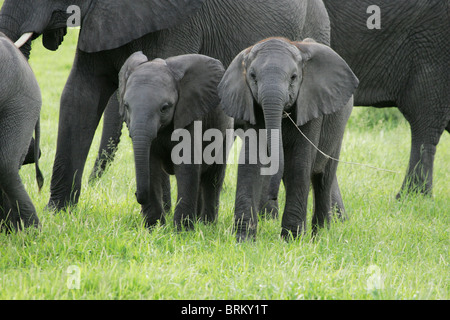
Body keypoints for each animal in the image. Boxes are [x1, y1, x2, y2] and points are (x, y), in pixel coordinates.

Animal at [118, 52, 232, 230]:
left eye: (165, 108)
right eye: (126, 105)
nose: (136, 194)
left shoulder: (191, 114)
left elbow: (187, 166)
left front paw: (182, 231)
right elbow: (151, 166)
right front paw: (154, 229)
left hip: (224, 131)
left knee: (212, 178)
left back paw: (207, 226)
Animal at [218, 37, 358, 241]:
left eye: (293, 77)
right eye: (252, 76)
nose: (272, 196)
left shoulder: (311, 105)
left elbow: (299, 164)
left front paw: (291, 239)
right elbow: (250, 163)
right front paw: (243, 239)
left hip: (339, 127)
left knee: (323, 178)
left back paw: (320, 234)